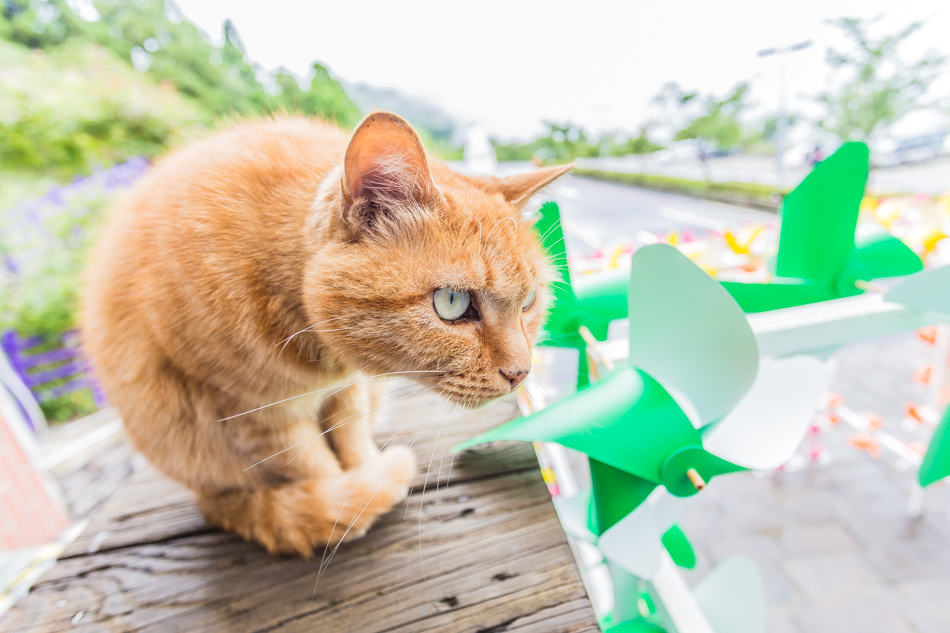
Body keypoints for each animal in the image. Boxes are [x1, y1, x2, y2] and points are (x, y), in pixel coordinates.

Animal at [82, 112, 568, 552]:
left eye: (529, 301)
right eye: (453, 303)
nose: (521, 373)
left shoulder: (348, 388)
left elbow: (352, 439)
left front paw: (367, 475)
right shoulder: (254, 417)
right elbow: (318, 470)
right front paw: (356, 501)